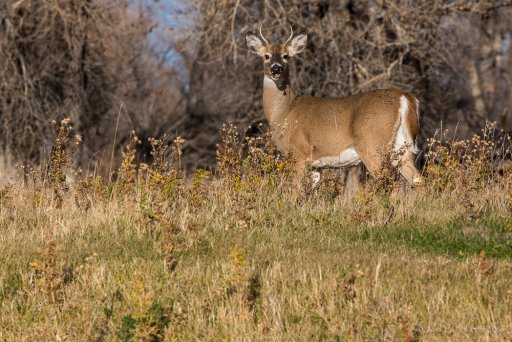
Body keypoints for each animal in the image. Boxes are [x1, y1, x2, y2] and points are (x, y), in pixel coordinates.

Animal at [246, 25, 422, 188]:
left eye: (286, 56)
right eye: (266, 56)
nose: (276, 68)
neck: (284, 112)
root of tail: (404, 97)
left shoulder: (298, 152)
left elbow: (296, 190)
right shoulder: (315, 165)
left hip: (373, 145)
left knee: (387, 181)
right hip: (400, 147)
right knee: (417, 179)